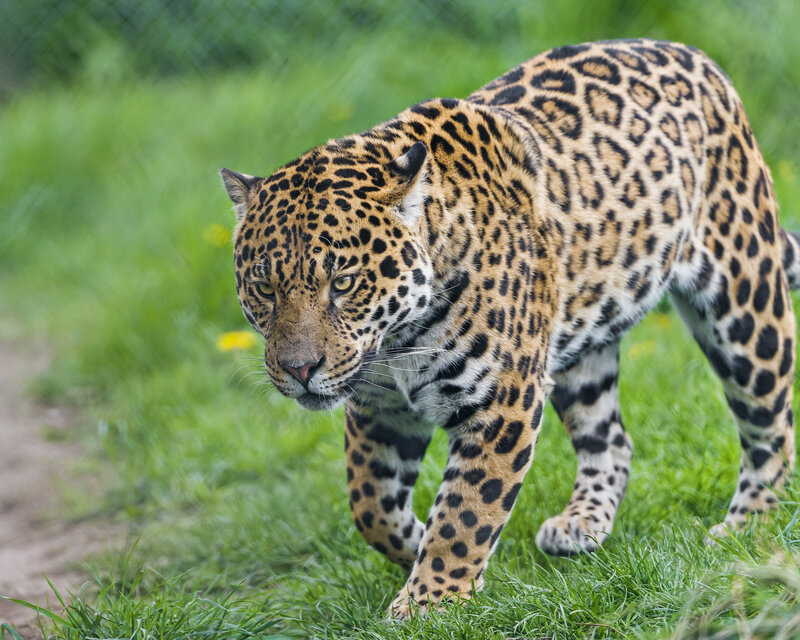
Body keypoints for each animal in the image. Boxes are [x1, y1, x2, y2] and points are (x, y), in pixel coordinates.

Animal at [219, 38, 798, 619]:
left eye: (342, 282)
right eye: (264, 288)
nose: (299, 370)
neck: (398, 339)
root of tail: (690, 54)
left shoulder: (502, 400)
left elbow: (466, 512)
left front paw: (431, 601)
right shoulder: (378, 407)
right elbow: (370, 502)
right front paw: (416, 546)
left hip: (745, 299)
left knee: (771, 424)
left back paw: (746, 527)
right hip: (579, 347)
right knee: (612, 439)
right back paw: (581, 524)